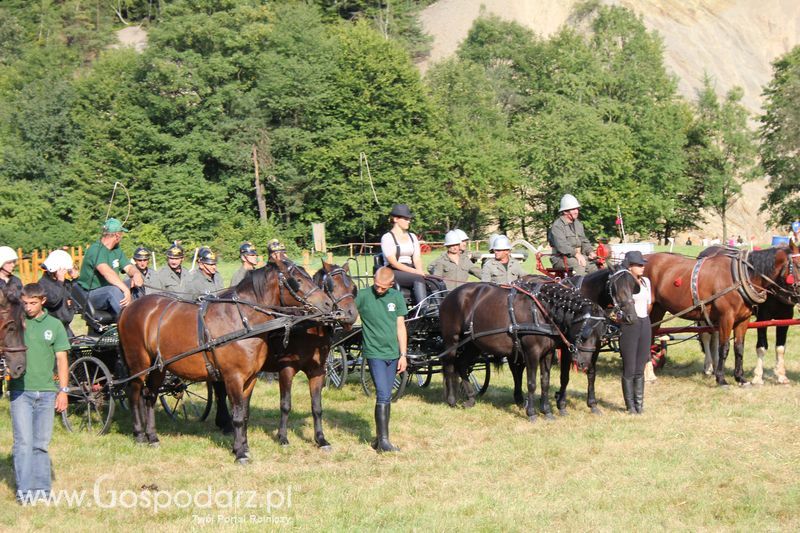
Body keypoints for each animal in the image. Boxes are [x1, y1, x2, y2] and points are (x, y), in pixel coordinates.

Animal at [117, 258, 332, 462]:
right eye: (297, 280)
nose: (328, 304)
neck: (241, 321)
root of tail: (129, 309)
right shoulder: (234, 377)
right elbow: (237, 415)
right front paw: (240, 454)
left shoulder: (251, 378)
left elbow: (244, 414)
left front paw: (243, 447)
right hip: (139, 365)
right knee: (134, 394)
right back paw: (139, 435)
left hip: (159, 367)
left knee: (150, 395)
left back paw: (152, 436)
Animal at [438, 278, 608, 420]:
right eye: (584, 334)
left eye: (599, 336)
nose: (584, 365)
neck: (541, 311)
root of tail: (449, 295)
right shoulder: (532, 352)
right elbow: (532, 383)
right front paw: (532, 413)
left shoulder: (548, 353)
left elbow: (545, 382)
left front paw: (547, 411)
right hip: (452, 339)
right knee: (449, 365)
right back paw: (451, 400)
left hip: (473, 343)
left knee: (462, 364)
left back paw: (471, 398)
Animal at [556, 268, 644, 414]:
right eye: (615, 287)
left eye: (633, 286)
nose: (631, 317)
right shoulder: (567, 347)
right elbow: (564, 376)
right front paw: (561, 404)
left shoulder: (594, 346)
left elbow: (591, 373)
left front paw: (592, 404)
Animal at [644, 245, 800, 386]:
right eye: (798, 265)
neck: (741, 278)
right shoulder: (729, 317)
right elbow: (725, 347)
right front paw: (722, 379)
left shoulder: (745, 320)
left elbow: (739, 347)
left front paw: (740, 378)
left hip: (658, 310)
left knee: (651, 335)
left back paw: (650, 375)